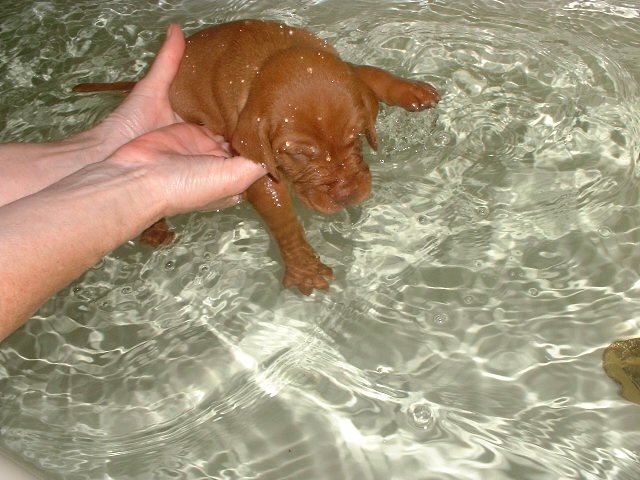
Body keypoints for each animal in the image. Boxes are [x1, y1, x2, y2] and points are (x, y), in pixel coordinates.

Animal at [72, 20, 438, 294]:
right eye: (298, 154)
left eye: (355, 138)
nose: (348, 195)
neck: (269, 57)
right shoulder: (259, 169)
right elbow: (282, 219)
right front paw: (303, 265)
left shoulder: (337, 64)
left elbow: (365, 72)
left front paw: (408, 90)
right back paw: (155, 228)